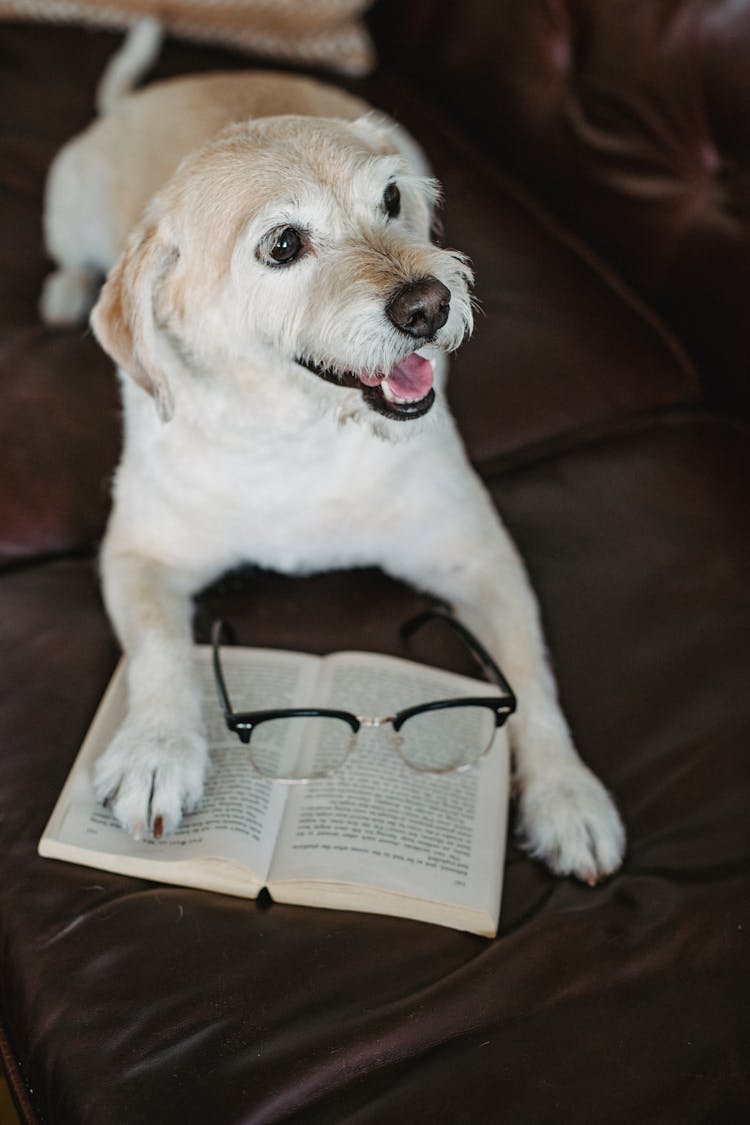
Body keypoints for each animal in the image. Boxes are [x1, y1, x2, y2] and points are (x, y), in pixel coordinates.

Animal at [42, 30, 629, 882]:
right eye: (284, 244)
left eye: (390, 201)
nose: (429, 306)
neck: (300, 436)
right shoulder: (138, 552)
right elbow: (158, 648)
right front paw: (157, 749)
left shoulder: (480, 557)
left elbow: (530, 675)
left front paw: (566, 793)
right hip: (67, 208)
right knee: (73, 262)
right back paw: (61, 296)